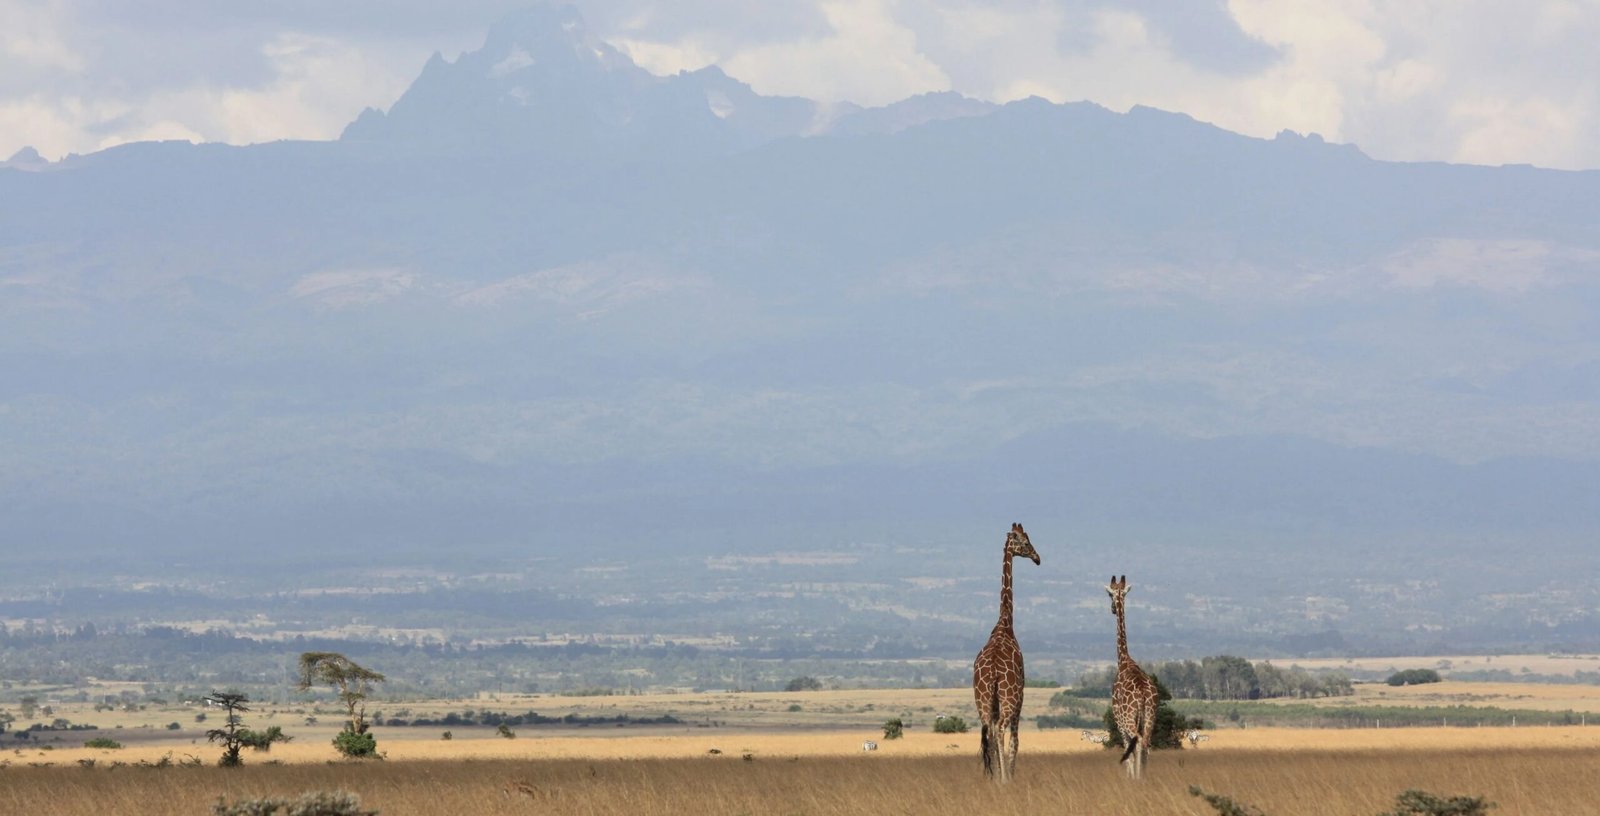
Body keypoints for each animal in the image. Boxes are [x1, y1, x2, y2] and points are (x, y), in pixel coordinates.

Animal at [972, 522, 1041, 782]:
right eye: (1024, 542)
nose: (1037, 558)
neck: (1004, 623)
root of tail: (992, 670)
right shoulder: (1020, 695)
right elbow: (1016, 740)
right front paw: (1009, 774)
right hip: (1009, 698)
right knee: (1001, 729)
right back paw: (1003, 778)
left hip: (982, 699)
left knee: (988, 731)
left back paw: (992, 777)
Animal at [1107, 575, 1159, 780]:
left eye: (1109, 594)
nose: (1113, 609)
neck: (1124, 660)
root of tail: (1143, 694)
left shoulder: (1118, 720)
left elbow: (1127, 751)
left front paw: (1129, 777)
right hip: (1151, 716)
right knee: (1146, 743)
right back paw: (1144, 777)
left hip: (1129, 719)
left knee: (1137, 743)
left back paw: (1137, 778)